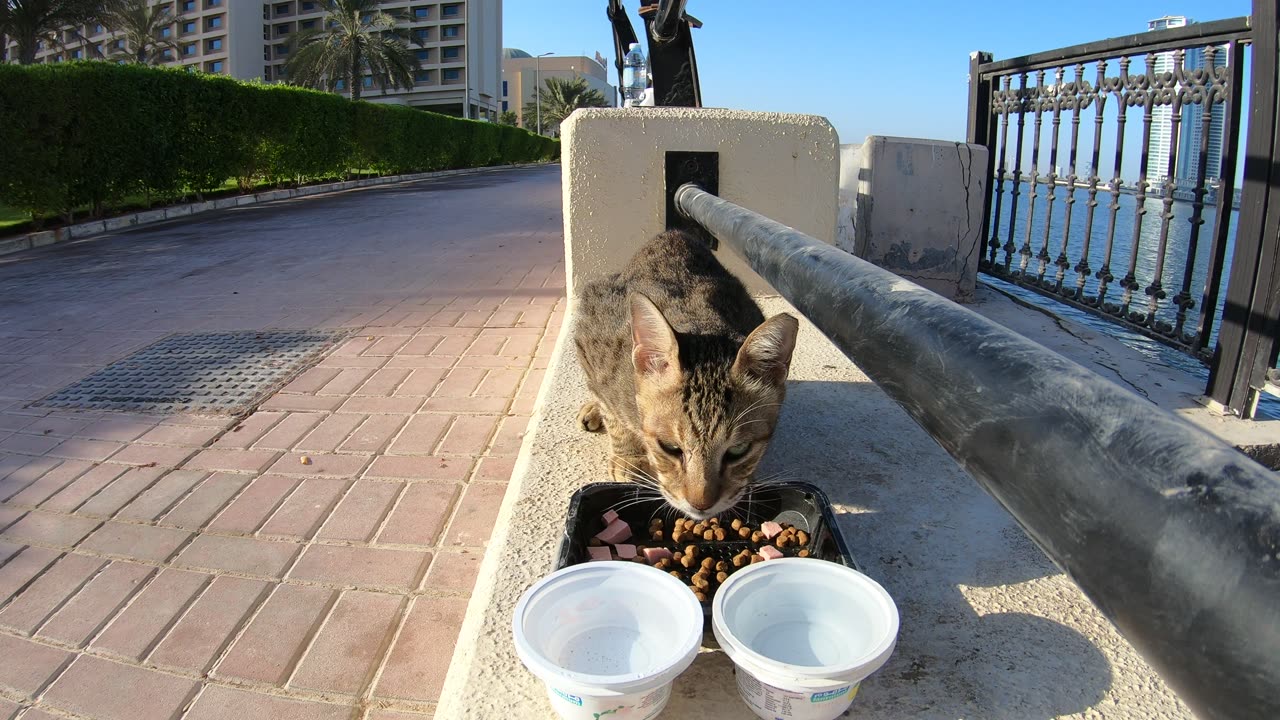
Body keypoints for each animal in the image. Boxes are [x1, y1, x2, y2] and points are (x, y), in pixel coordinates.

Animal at [576, 229, 793, 515]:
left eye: (739, 450)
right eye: (669, 447)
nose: (701, 505)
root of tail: (673, 232)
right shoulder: (592, 338)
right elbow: (614, 417)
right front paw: (629, 458)